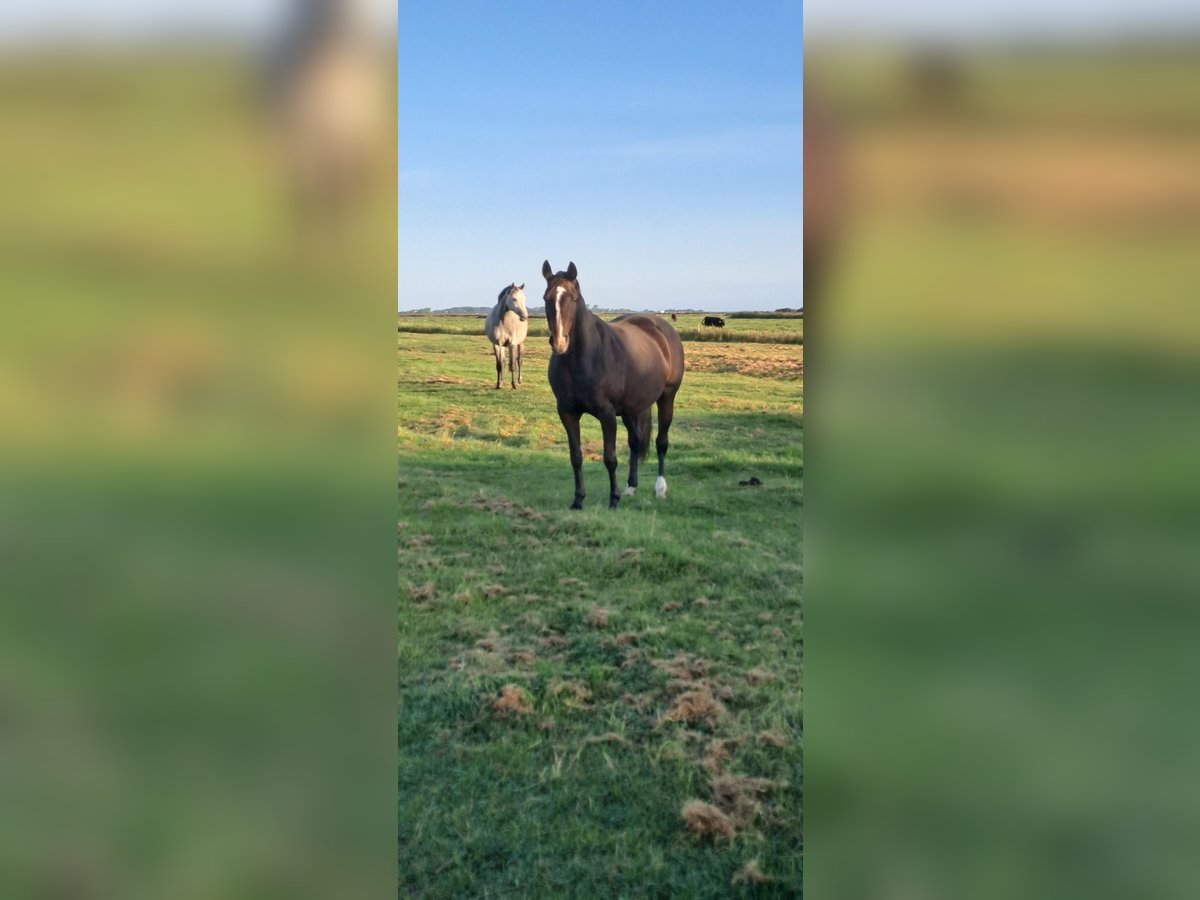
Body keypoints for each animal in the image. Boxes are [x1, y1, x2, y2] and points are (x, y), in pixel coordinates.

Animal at [544, 262, 686, 513]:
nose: (559, 342)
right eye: (546, 298)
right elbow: (576, 456)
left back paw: (660, 488)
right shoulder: (567, 412)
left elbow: (610, 458)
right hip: (631, 408)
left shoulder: (607, 414)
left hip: (667, 398)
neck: (584, 359)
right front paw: (578, 500)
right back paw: (631, 487)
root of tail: (661, 327)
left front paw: (613, 499)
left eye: (572, 298)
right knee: (636, 442)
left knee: (661, 442)